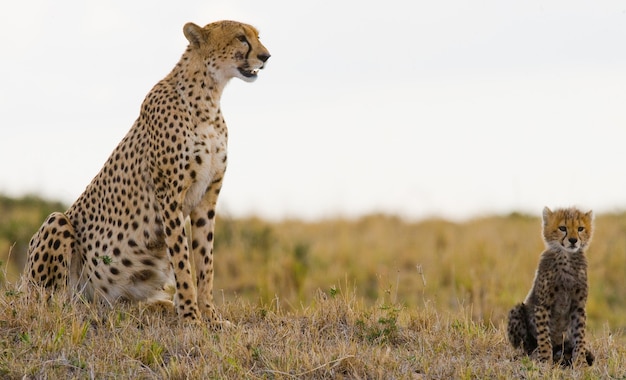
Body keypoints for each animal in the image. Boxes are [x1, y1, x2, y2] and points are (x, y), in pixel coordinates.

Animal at [23, 19, 268, 326]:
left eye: (257, 36)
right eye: (240, 38)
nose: (266, 56)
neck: (209, 97)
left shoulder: (207, 198)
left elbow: (206, 262)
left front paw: (210, 317)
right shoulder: (170, 195)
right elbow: (183, 262)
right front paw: (191, 317)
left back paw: (159, 306)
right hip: (57, 229)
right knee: (52, 302)